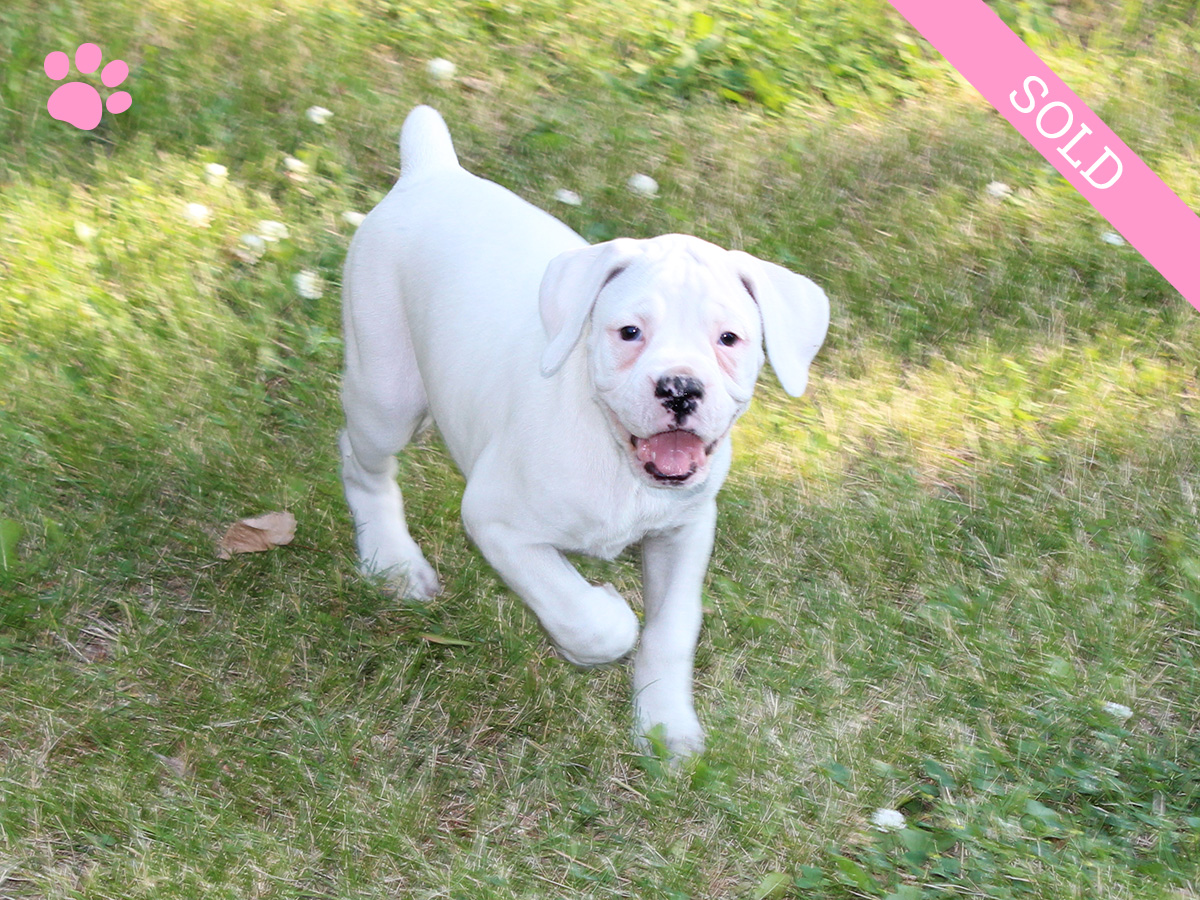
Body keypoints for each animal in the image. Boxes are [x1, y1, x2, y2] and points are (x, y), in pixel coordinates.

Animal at [338, 103, 825, 753]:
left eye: (728, 339)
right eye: (629, 332)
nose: (679, 388)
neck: (616, 459)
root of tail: (432, 170)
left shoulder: (686, 530)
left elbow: (673, 630)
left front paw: (666, 726)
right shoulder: (497, 523)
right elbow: (586, 616)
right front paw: (606, 612)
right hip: (386, 392)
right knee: (361, 462)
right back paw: (391, 561)